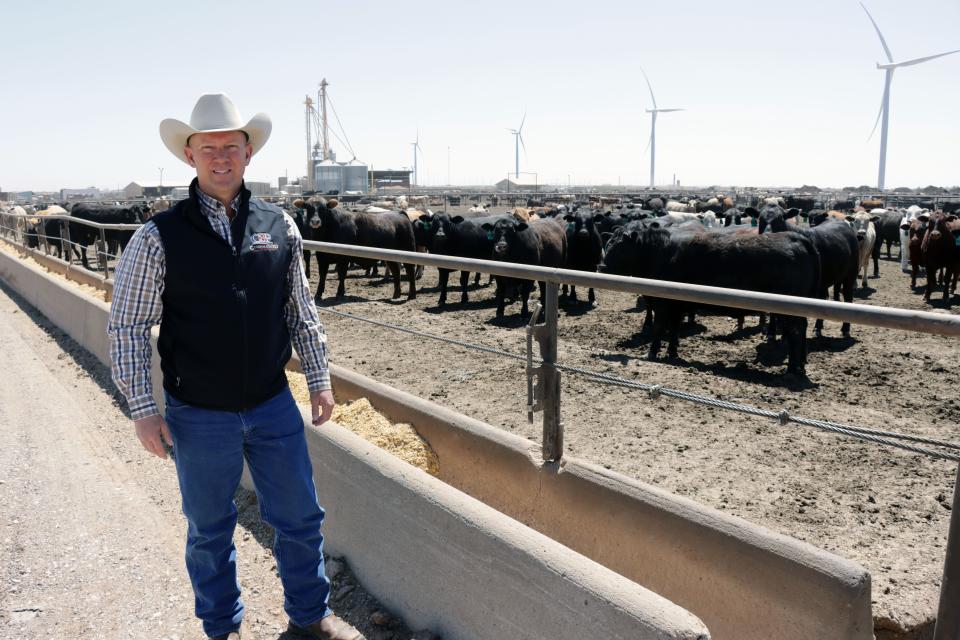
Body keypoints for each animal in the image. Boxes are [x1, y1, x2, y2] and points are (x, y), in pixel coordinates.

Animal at [600, 222, 816, 378]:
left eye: (620, 247)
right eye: (608, 243)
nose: (601, 267)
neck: (661, 251)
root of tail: (796, 237)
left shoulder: (663, 303)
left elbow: (660, 327)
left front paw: (652, 353)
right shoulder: (676, 304)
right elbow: (674, 328)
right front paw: (672, 352)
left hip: (787, 310)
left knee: (795, 333)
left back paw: (791, 370)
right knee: (801, 329)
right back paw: (800, 366)